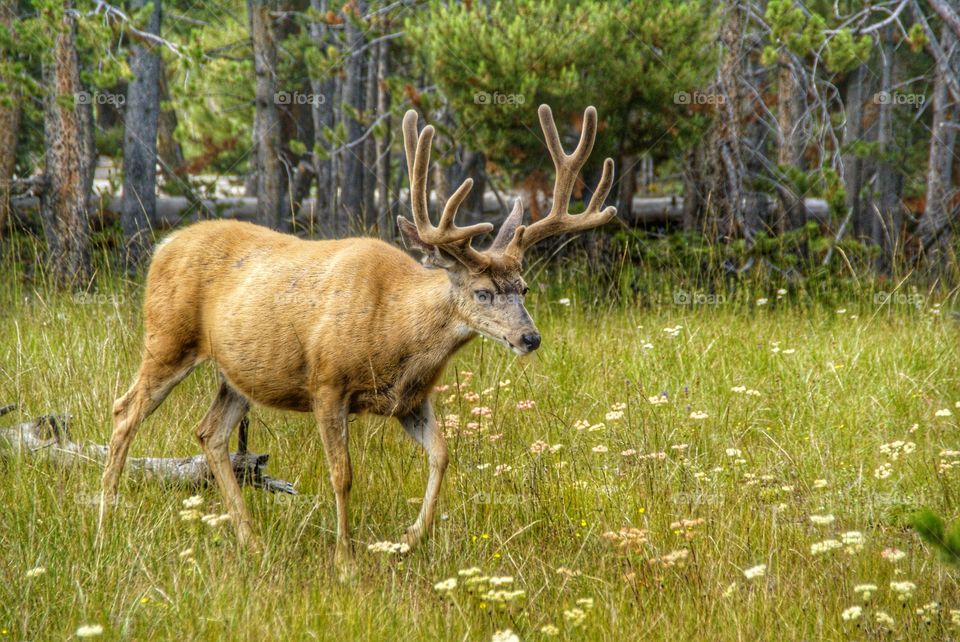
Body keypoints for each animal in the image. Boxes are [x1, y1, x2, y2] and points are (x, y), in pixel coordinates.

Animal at [99, 102, 616, 572]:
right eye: (482, 292)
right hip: (168, 338)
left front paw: (411, 538)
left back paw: (251, 541)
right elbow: (342, 475)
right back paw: (109, 513)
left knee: (210, 434)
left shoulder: (409, 400)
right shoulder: (328, 382)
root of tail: (163, 245)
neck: (396, 327)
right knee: (125, 411)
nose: (530, 338)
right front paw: (345, 560)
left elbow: (442, 455)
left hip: (237, 373)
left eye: (524, 287)